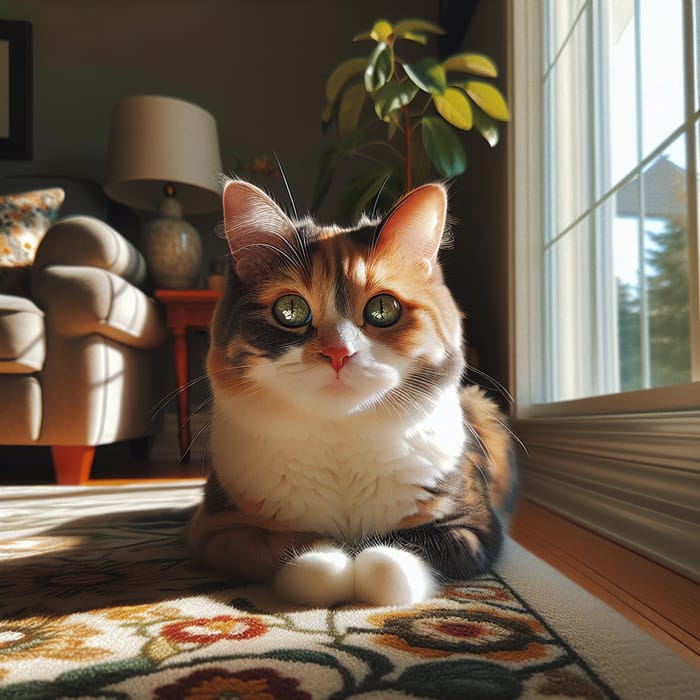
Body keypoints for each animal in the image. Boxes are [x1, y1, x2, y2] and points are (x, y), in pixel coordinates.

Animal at [189, 180, 516, 608]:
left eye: (383, 309)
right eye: (290, 310)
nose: (338, 353)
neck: (341, 441)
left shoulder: (474, 526)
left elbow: (401, 553)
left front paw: (371, 571)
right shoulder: (218, 530)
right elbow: (289, 548)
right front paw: (332, 570)